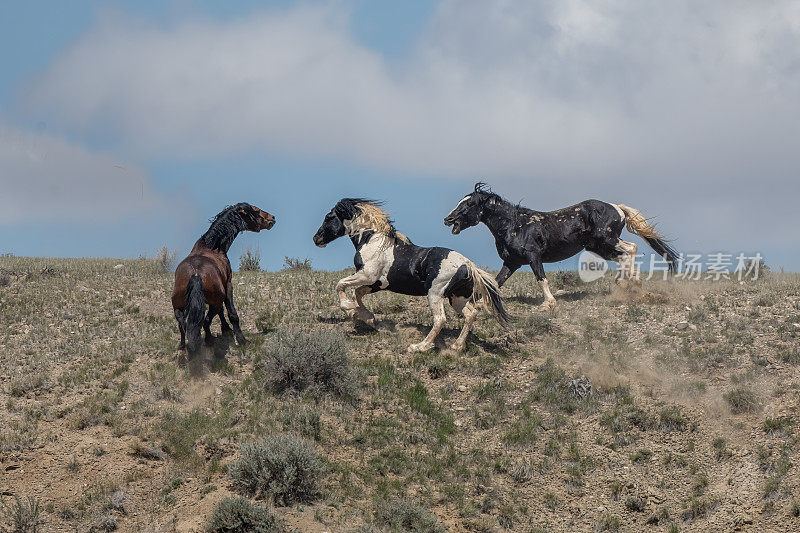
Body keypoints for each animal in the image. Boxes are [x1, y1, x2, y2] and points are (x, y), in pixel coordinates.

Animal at [171, 203, 276, 358]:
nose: (272, 218)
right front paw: (241, 339)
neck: (212, 247)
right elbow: (232, 313)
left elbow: (222, 312)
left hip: (179, 307)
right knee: (206, 321)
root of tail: (195, 274)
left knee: (182, 324)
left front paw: (225, 329)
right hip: (213, 302)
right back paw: (209, 341)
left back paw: (183, 345)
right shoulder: (228, 285)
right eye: (256, 210)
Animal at [312, 197, 506, 352]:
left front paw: (349, 309)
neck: (372, 241)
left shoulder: (367, 275)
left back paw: (419, 347)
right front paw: (367, 318)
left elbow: (341, 284)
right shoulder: (377, 283)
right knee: (471, 314)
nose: (316, 239)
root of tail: (468, 264)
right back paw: (457, 346)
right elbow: (358, 293)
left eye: (329, 217)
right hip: (457, 297)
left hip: (435, 294)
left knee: (440, 319)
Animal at [446, 184, 680, 310]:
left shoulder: (533, 256)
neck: (514, 225)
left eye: (469, 204)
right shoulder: (512, 262)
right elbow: (495, 282)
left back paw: (634, 283)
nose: (448, 219)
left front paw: (548, 304)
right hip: (599, 247)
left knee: (631, 248)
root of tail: (618, 208)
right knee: (623, 256)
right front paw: (480, 303)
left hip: (607, 239)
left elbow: (541, 279)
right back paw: (624, 284)